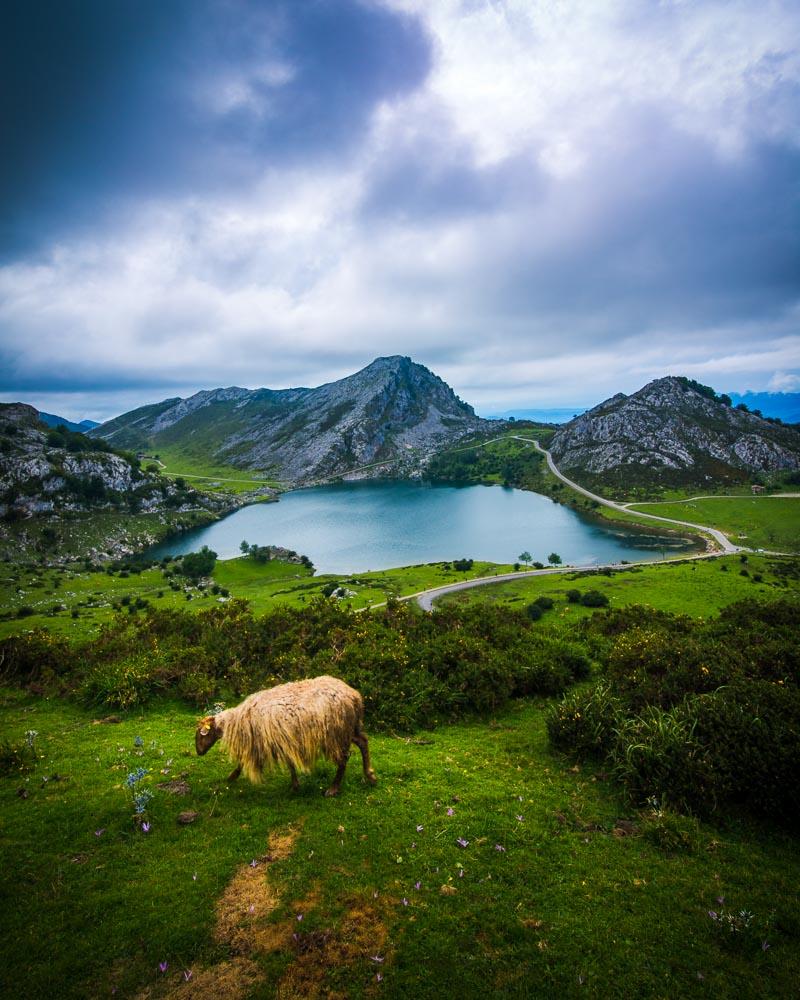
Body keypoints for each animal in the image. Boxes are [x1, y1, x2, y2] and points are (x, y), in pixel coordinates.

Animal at [196, 672, 378, 796]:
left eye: (199, 735)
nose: (198, 752)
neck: (236, 721)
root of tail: (354, 696)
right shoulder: (283, 739)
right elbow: (290, 763)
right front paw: (295, 785)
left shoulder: (261, 741)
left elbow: (242, 762)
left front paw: (232, 776)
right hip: (349, 728)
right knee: (363, 741)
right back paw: (370, 776)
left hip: (337, 733)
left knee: (344, 759)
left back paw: (333, 789)